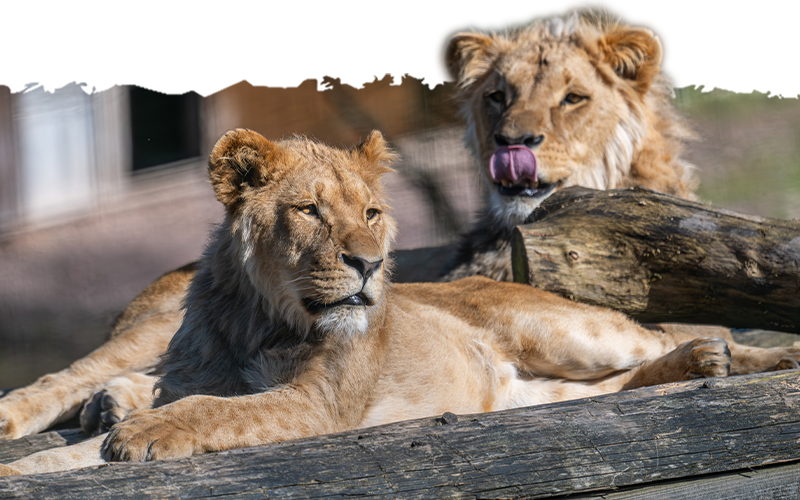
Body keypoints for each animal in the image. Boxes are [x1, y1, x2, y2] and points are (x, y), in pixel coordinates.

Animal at [2, 129, 799, 476]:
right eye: (310, 211)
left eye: (372, 213)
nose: (370, 263)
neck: (263, 318)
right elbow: (65, 458)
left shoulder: (317, 404)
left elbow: (213, 410)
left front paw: (142, 431)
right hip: (533, 391)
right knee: (609, 385)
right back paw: (703, 361)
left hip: (559, 328)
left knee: (651, 345)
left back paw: (747, 357)